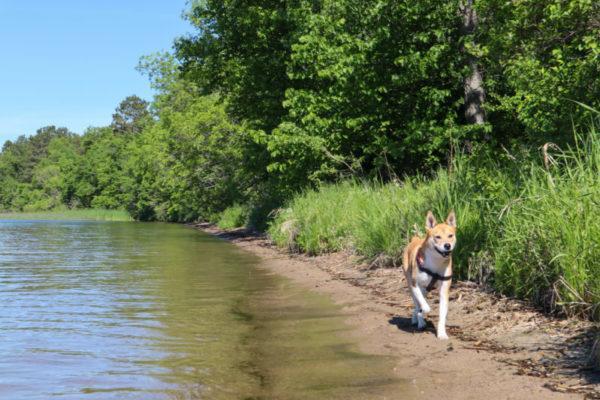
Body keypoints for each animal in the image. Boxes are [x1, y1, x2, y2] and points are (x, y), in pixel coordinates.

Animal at [400, 211, 458, 340]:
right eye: (437, 237)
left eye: (450, 235)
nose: (447, 245)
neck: (435, 263)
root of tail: (415, 239)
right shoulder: (415, 285)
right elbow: (424, 305)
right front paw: (423, 313)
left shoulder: (444, 291)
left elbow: (442, 315)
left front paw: (441, 333)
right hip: (412, 285)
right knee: (417, 303)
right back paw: (418, 320)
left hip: (425, 289)